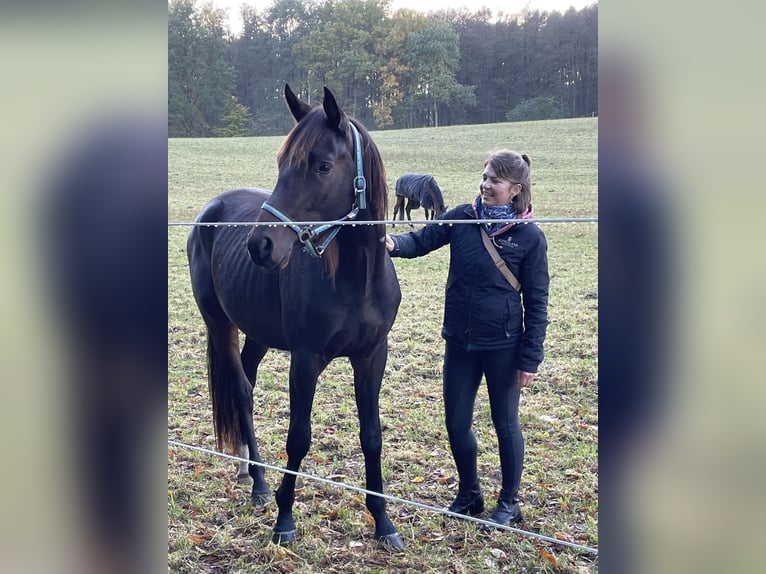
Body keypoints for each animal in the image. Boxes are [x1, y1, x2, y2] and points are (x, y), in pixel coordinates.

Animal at [188, 85, 408, 552]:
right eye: (281, 165)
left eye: (322, 165)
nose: (260, 246)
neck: (353, 280)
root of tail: (211, 210)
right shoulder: (305, 360)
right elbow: (299, 437)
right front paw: (284, 519)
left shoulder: (372, 357)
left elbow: (372, 435)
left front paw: (383, 522)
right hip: (220, 325)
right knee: (242, 391)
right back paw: (259, 484)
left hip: (257, 333)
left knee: (247, 382)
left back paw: (247, 470)